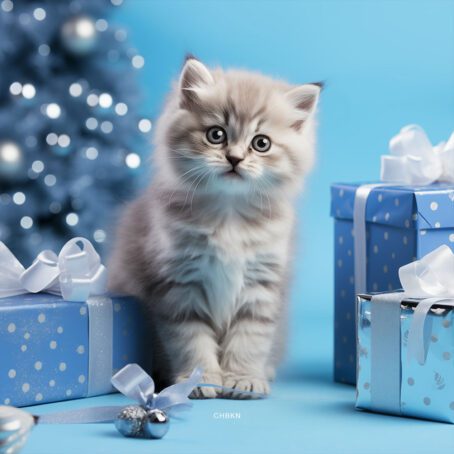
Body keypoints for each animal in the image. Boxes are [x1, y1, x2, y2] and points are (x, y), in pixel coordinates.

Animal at [108, 57, 320, 398]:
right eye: (216, 135)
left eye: (261, 143)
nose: (234, 158)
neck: (229, 215)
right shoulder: (179, 285)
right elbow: (190, 340)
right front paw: (200, 379)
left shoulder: (261, 284)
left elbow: (250, 338)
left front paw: (243, 378)